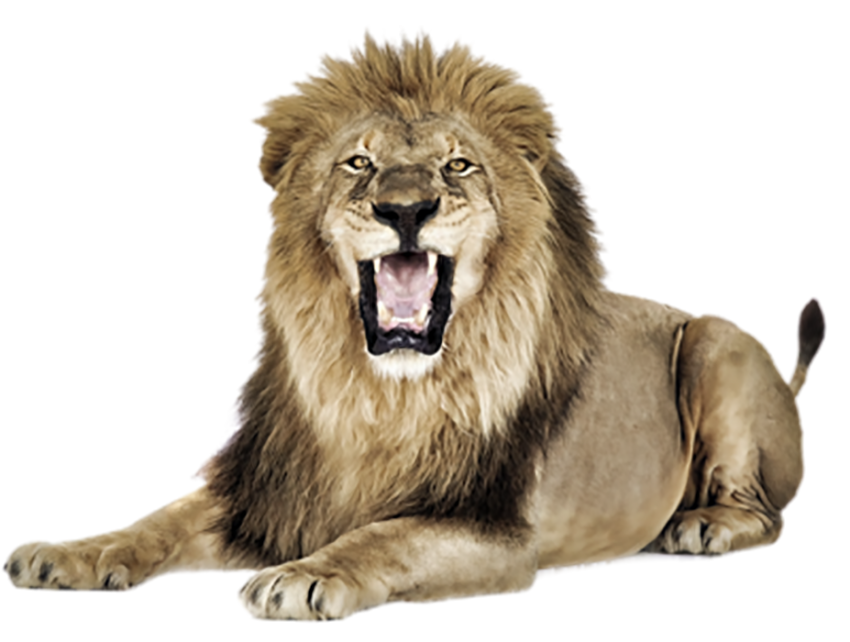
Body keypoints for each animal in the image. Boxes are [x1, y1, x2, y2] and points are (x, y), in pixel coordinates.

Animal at [2, 26, 827, 622]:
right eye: (358, 164)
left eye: (457, 166)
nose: (404, 209)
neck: (379, 393)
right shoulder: (269, 490)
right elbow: (157, 518)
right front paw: (67, 554)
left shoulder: (494, 530)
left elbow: (386, 533)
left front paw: (306, 576)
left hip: (716, 341)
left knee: (770, 514)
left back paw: (703, 525)